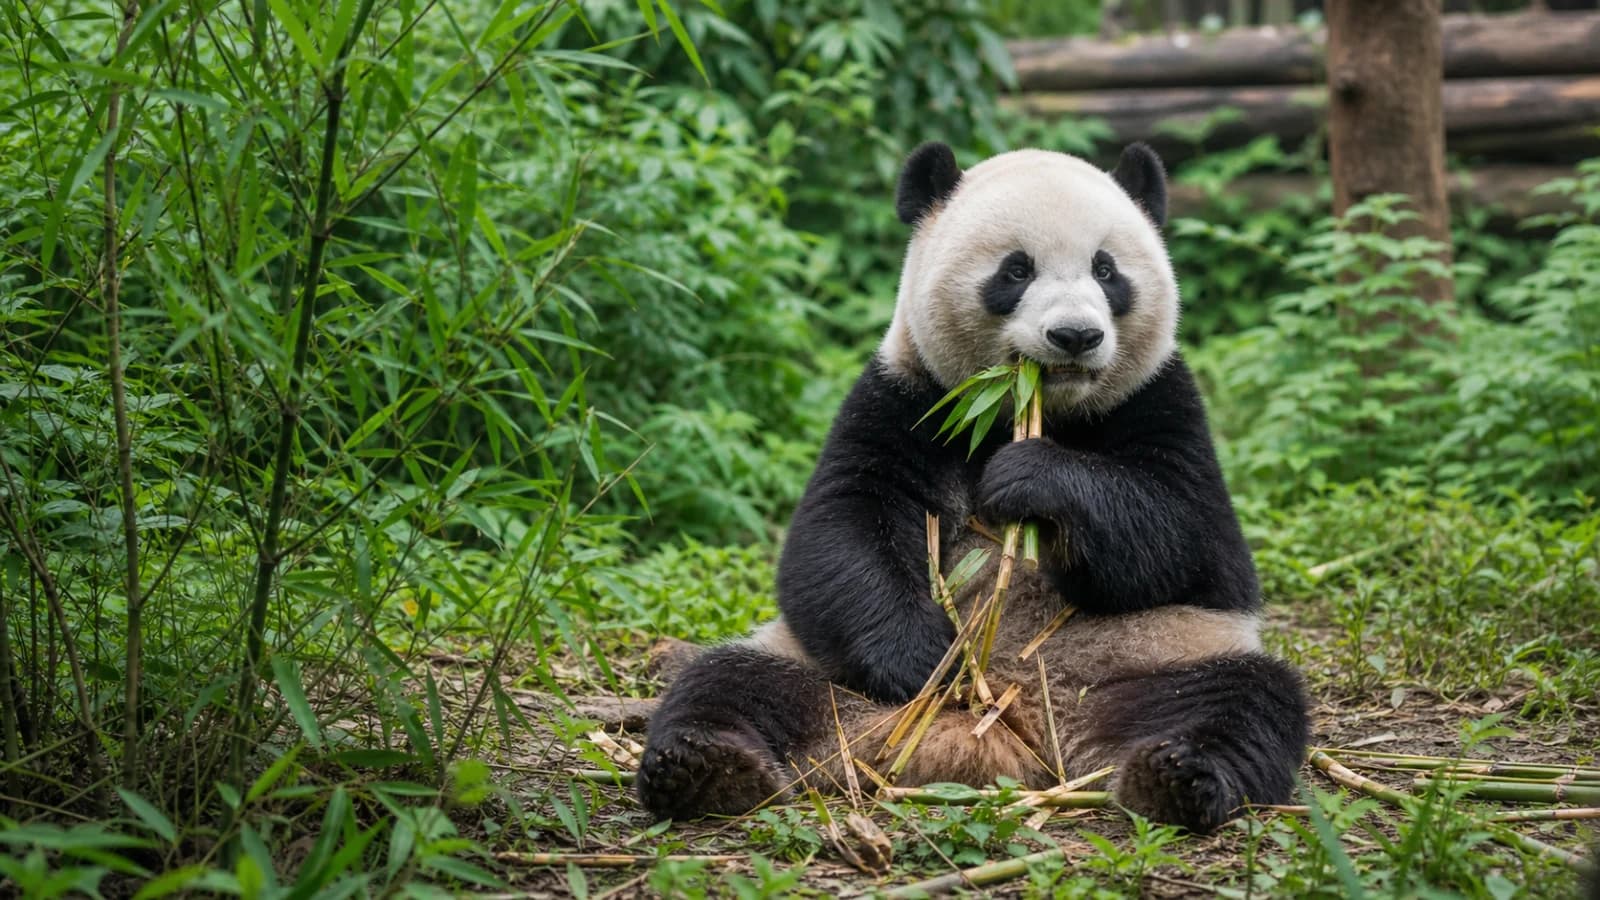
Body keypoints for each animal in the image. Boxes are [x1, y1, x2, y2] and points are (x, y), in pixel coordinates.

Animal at [635, 142, 1309, 834]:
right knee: (728, 684)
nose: (1075, 336)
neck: (1030, 409)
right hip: (815, 669)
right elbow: (841, 530)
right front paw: (923, 657)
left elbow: (1189, 538)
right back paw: (706, 767)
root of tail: (1013, 729)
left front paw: (1031, 478)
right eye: (1016, 270)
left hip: (1158, 658)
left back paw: (1177, 776)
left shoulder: (1159, 399)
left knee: (1242, 703)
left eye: (1106, 270)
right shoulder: (909, 397)